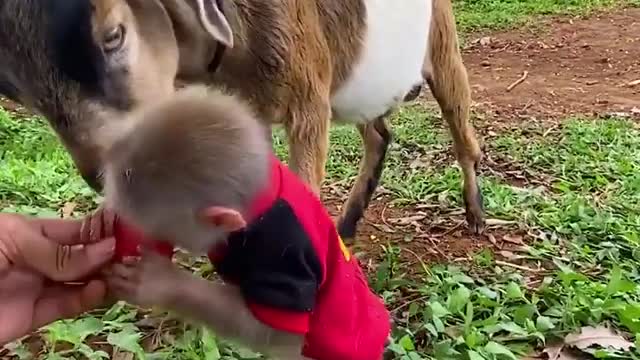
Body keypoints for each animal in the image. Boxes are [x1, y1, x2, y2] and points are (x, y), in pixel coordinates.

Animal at [0, 0, 482, 242]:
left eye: (114, 35)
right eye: (15, 91)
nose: (103, 177)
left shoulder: (309, 100)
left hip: (440, 47)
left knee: (461, 130)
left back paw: (475, 213)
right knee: (379, 134)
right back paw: (347, 223)